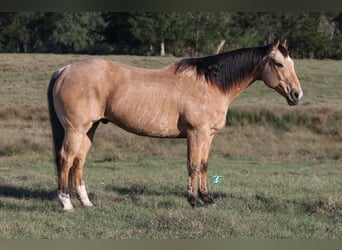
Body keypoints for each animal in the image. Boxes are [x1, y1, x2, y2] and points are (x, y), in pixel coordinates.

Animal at [47, 38, 302, 211]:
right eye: (279, 64)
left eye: (292, 63)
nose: (297, 95)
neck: (210, 84)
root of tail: (64, 70)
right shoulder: (196, 134)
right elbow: (193, 165)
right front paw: (193, 200)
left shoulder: (208, 136)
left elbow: (204, 165)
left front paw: (208, 199)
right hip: (75, 129)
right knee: (66, 159)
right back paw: (66, 203)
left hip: (90, 129)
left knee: (79, 161)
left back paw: (86, 202)